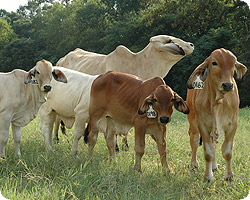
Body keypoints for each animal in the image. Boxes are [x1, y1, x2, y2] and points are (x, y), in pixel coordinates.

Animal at [187, 48, 247, 183]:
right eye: (214, 63)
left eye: (233, 64)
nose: (228, 85)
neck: (217, 102)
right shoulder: (203, 125)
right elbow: (208, 153)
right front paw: (208, 177)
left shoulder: (232, 124)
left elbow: (227, 152)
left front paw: (229, 177)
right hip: (193, 122)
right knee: (194, 141)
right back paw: (194, 165)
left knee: (214, 144)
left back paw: (214, 166)